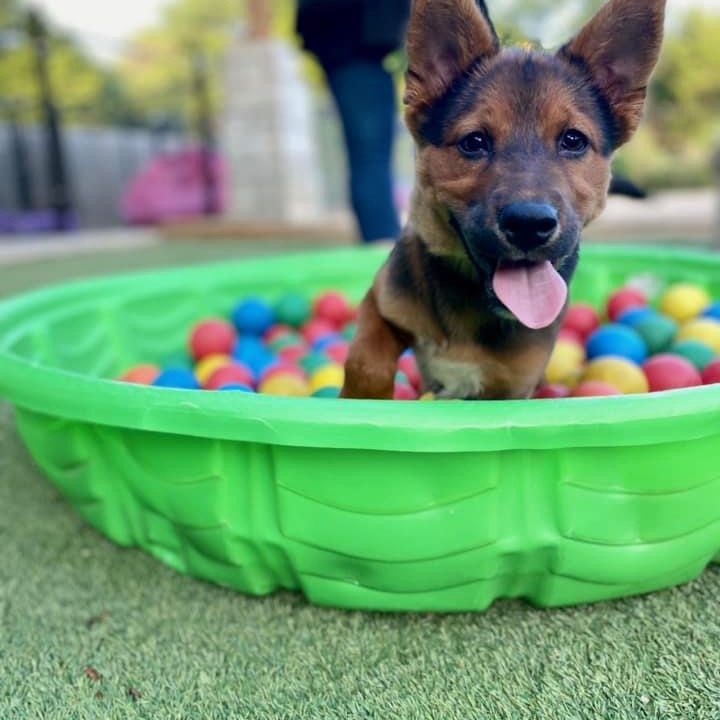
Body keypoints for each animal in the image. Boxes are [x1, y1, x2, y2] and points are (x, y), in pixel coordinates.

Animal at [340, 0, 668, 400]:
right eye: (474, 142)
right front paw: (360, 400)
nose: (529, 225)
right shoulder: (382, 302)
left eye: (573, 140)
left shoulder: (509, 389)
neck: (470, 296)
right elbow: (365, 361)